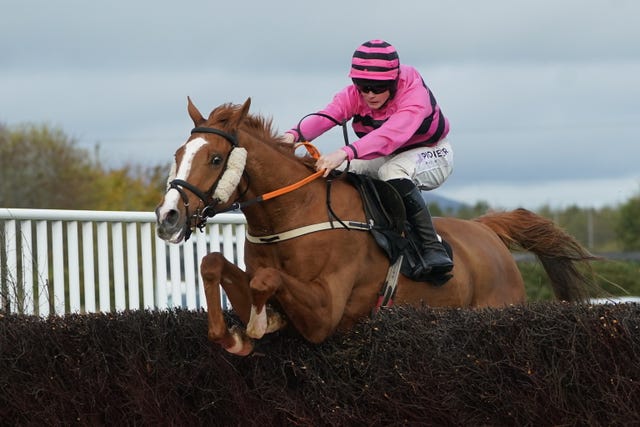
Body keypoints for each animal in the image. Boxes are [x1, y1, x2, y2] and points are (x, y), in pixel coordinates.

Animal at [156, 98, 600, 356]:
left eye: (215, 159)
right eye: (178, 153)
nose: (168, 216)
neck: (292, 212)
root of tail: (488, 231)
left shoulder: (326, 314)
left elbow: (267, 280)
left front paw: (260, 323)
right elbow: (214, 263)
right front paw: (234, 333)